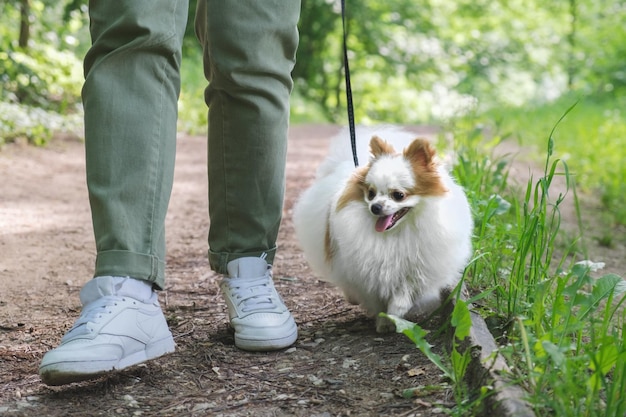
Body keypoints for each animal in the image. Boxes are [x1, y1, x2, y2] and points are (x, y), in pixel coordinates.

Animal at [292, 127, 472, 332]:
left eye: (399, 195)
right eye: (371, 193)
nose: (375, 207)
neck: (396, 233)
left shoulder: (415, 271)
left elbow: (402, 297)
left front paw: (392, 316)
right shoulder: (368, 275)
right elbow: (375, 299)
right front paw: (382, 320)